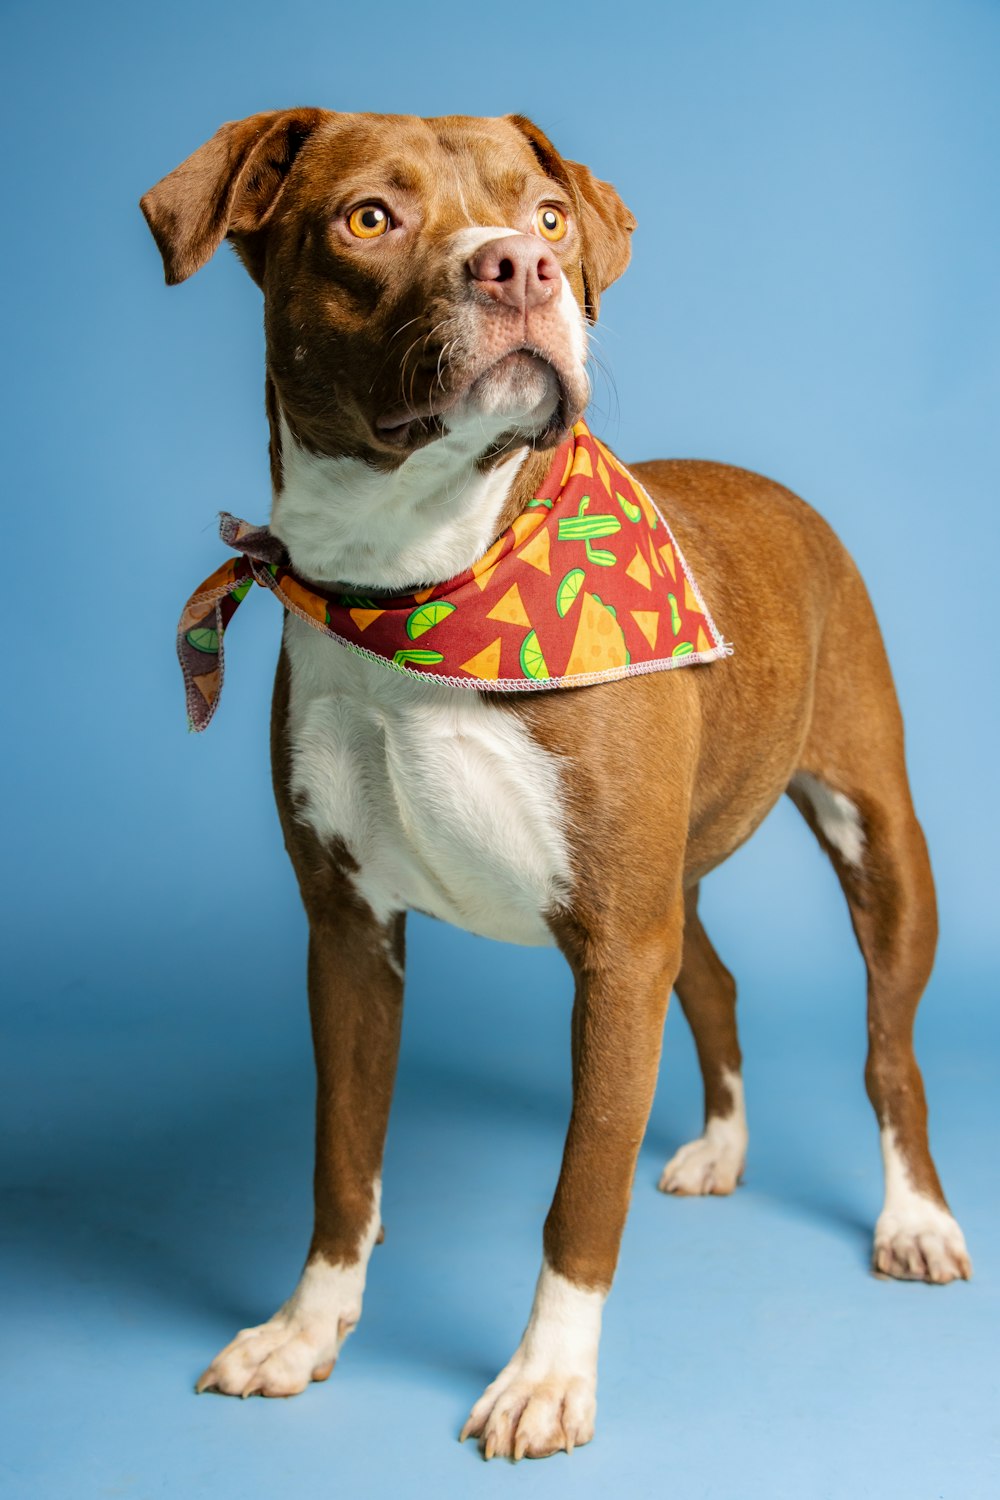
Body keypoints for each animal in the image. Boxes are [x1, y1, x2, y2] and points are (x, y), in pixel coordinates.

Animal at [140, 108, 971, 1464]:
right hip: (672, 885)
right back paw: (718, 1148)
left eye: (545, 217)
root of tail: (773, 489)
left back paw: (914, 1218)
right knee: (718, 984)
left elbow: (580, 1193)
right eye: (368, 218)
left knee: (886, 1049)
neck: (416, 588)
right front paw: (306, 1330)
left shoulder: (616, 949)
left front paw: (545, 1379)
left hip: (874, 830)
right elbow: (342, 1158)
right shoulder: (349, 932)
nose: (517, 268)